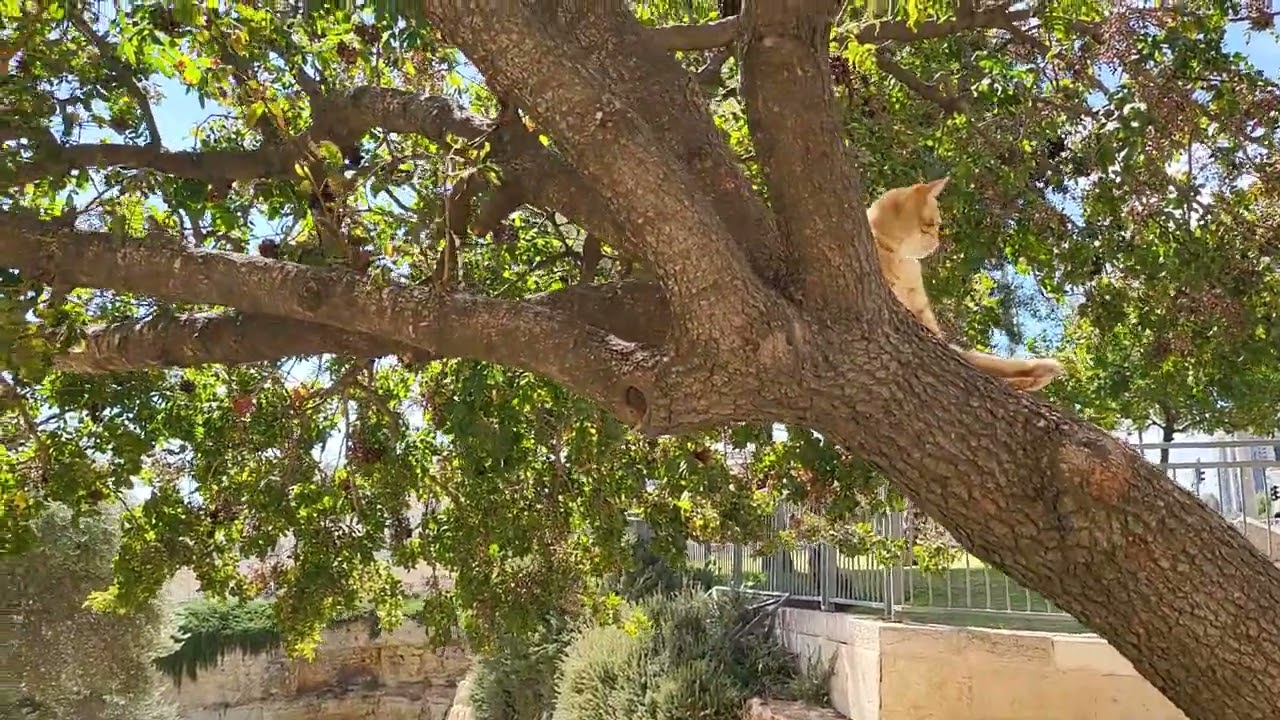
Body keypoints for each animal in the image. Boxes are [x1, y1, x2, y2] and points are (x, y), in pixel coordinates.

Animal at [865, 178, 1064, 392]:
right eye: (932, 225)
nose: (937, 242)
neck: (899, 259)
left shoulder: (931, 329)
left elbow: (984, 360)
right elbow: (980, 359)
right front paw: (1034, 372)